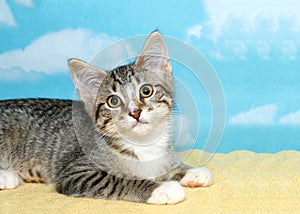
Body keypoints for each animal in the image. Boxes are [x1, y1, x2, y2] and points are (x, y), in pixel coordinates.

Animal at [0, 31, 213, 204]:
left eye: (146, 91)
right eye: (113, 101)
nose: (135, 112)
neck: (142, 144)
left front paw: (189, 171)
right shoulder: (75, 173)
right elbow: (118, 179)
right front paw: (161, 188)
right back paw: (6, 176)